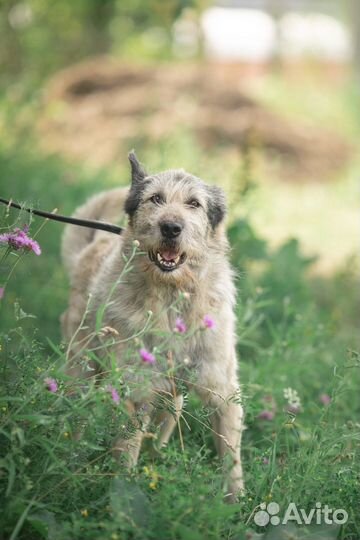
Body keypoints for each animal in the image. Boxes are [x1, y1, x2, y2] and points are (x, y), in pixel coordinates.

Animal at [61, 151, 245, 498]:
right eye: (155, 198)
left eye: (194, 203)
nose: (171, 227)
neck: (172, 298)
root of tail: (89, 251)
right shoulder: (135, 392)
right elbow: (125, 455)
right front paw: (122, 494)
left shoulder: (223, 393)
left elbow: (232, 459)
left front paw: (237, 503)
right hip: (81, 370)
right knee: (74, 419)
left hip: (171, 399)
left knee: (161, 430)